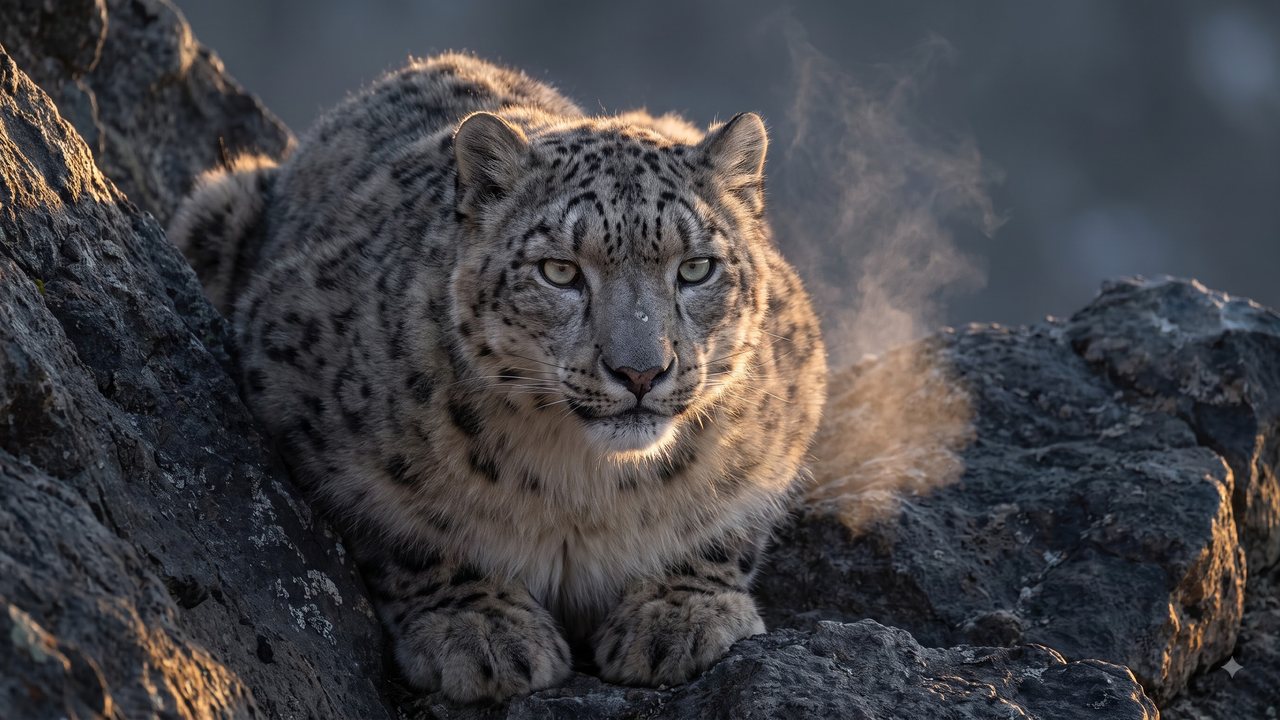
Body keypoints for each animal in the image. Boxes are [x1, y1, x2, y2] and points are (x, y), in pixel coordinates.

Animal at [169, 53, 827, 703]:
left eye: (695, 268)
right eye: (559, 271)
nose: (640, 371)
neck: (584, 485)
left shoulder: (791, 401)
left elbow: (730, 522)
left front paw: (681, 616)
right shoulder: (300, 399)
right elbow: (405, 533)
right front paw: (480, 629)